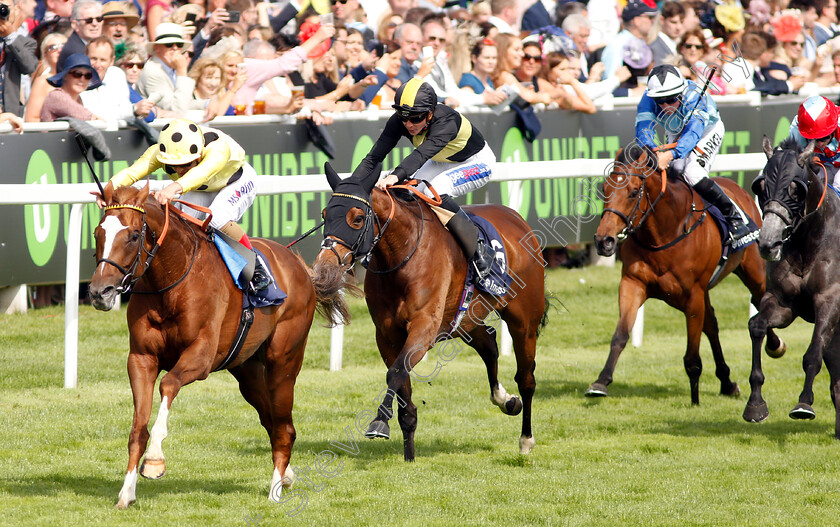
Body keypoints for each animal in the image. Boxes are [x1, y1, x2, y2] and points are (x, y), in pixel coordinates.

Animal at [88, 184, 318, 510]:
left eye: (133, 235)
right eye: (98, 233)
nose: (99, 292)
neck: (172, 281)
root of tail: (297, 263)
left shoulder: (201, 357)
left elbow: (168, 384)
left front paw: (155, 460)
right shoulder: (141, 359)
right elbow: (137, 428)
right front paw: (126, 492)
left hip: (283, 362)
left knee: (284, 427)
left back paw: (275, 489)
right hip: (247, 371)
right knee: (272, 421)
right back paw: (286, 475)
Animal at [312, 163, 548, 460]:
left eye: (357, 218)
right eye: (324, 215)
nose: (325, 265)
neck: (402, 255)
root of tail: (517, 219)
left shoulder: (424, 326)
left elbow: (396, 372)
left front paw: (379, 422)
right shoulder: (387, 334)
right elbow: (401, 381)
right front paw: (408, 450)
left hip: (524, 320)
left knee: (526, 378)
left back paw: (526, 439)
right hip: (464, 318)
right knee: (489, 344)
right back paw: (504, 399)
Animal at [588, 142, 784, 406]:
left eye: (632, 192)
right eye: (605, 189)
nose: (603, 241)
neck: (665, 232)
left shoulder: (693, 296)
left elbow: (692, 355)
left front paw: (695, 399)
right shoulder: (633, 283)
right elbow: (620, 335)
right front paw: (601, 382)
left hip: (753, 270)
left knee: (760, 297)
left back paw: (774, 345)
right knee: (712, 323)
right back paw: (726, 381)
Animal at [744, 135, 840, 438]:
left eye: (795, 188)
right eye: (760, 186)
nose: (768, 243)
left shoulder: (830, 300)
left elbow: (813, 353)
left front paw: (804, 403)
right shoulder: (783, 303)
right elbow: (757, 326)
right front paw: (755, 404)